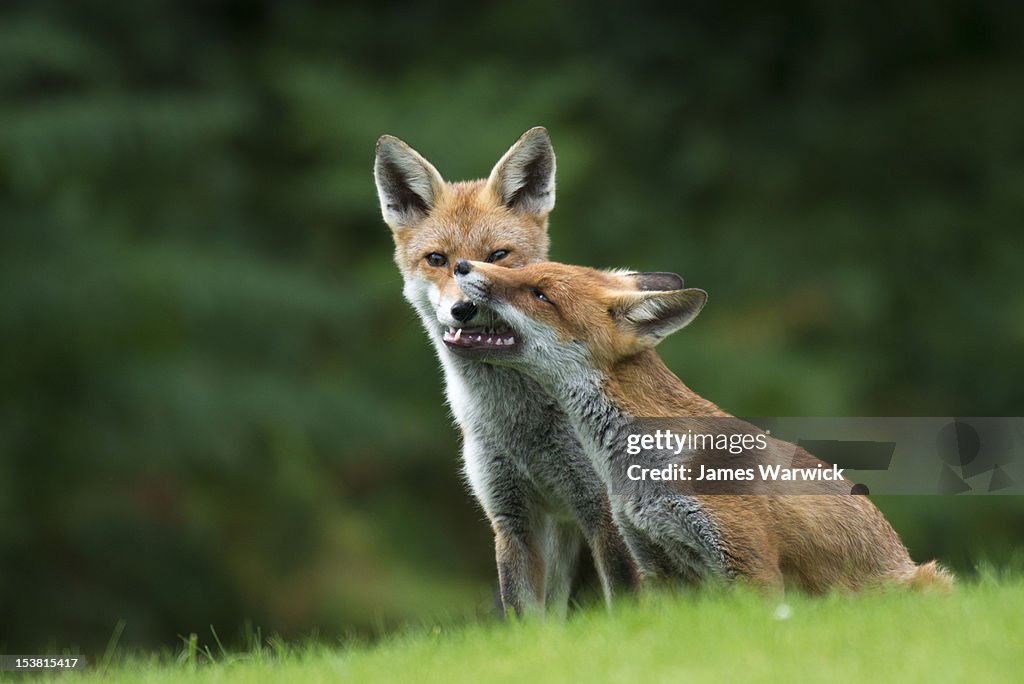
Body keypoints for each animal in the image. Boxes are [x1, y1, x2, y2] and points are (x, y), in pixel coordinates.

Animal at [372, 126, 634, 614]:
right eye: (437, 259)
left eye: (498, 254)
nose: (464, 308)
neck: (523, 425)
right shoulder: (511, 519)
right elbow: (525, 616)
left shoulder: (603, 511)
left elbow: (629, 603)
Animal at [456, 259, 950, 589]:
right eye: (522, 268)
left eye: (540, 293)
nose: (462, 264)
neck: (648, 466)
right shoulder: (657, 564)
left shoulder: (749, 563)